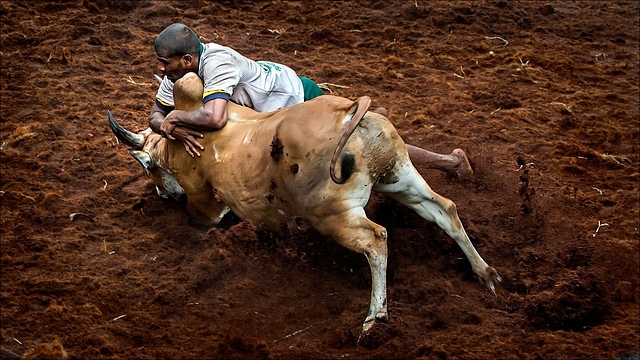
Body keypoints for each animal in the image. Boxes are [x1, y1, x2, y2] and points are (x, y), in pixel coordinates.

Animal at [110, 72, 500, 332]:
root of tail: (349, 111)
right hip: (400, 179)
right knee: (445, 210)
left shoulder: (202, 201)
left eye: (151, 171)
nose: (162, 193)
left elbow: (203, 221)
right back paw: (485, 272)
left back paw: (375, 318)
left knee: (376, 239)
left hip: (332, 215)